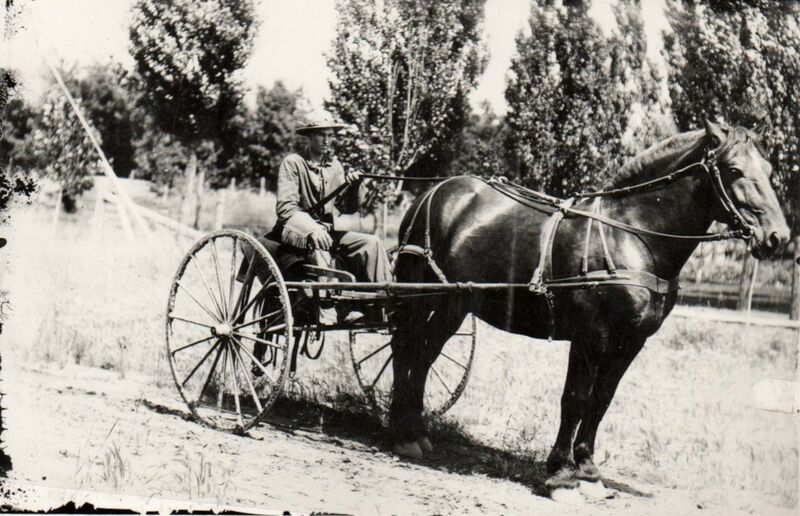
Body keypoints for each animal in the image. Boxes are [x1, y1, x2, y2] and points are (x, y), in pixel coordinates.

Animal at [387, 120, 790, 492]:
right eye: (734, 170)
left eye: (769, 171)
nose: (778, 237)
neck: (632, 234)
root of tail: (436, 190)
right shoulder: (590, 335)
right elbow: (576, 398)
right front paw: (560, 473)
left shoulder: (630, 342)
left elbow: (602, 399)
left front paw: (587, 468)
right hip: (420, 296)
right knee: (407, 349)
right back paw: (402, 435)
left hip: (454, 303)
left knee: (422, 353)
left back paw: (413, 430)